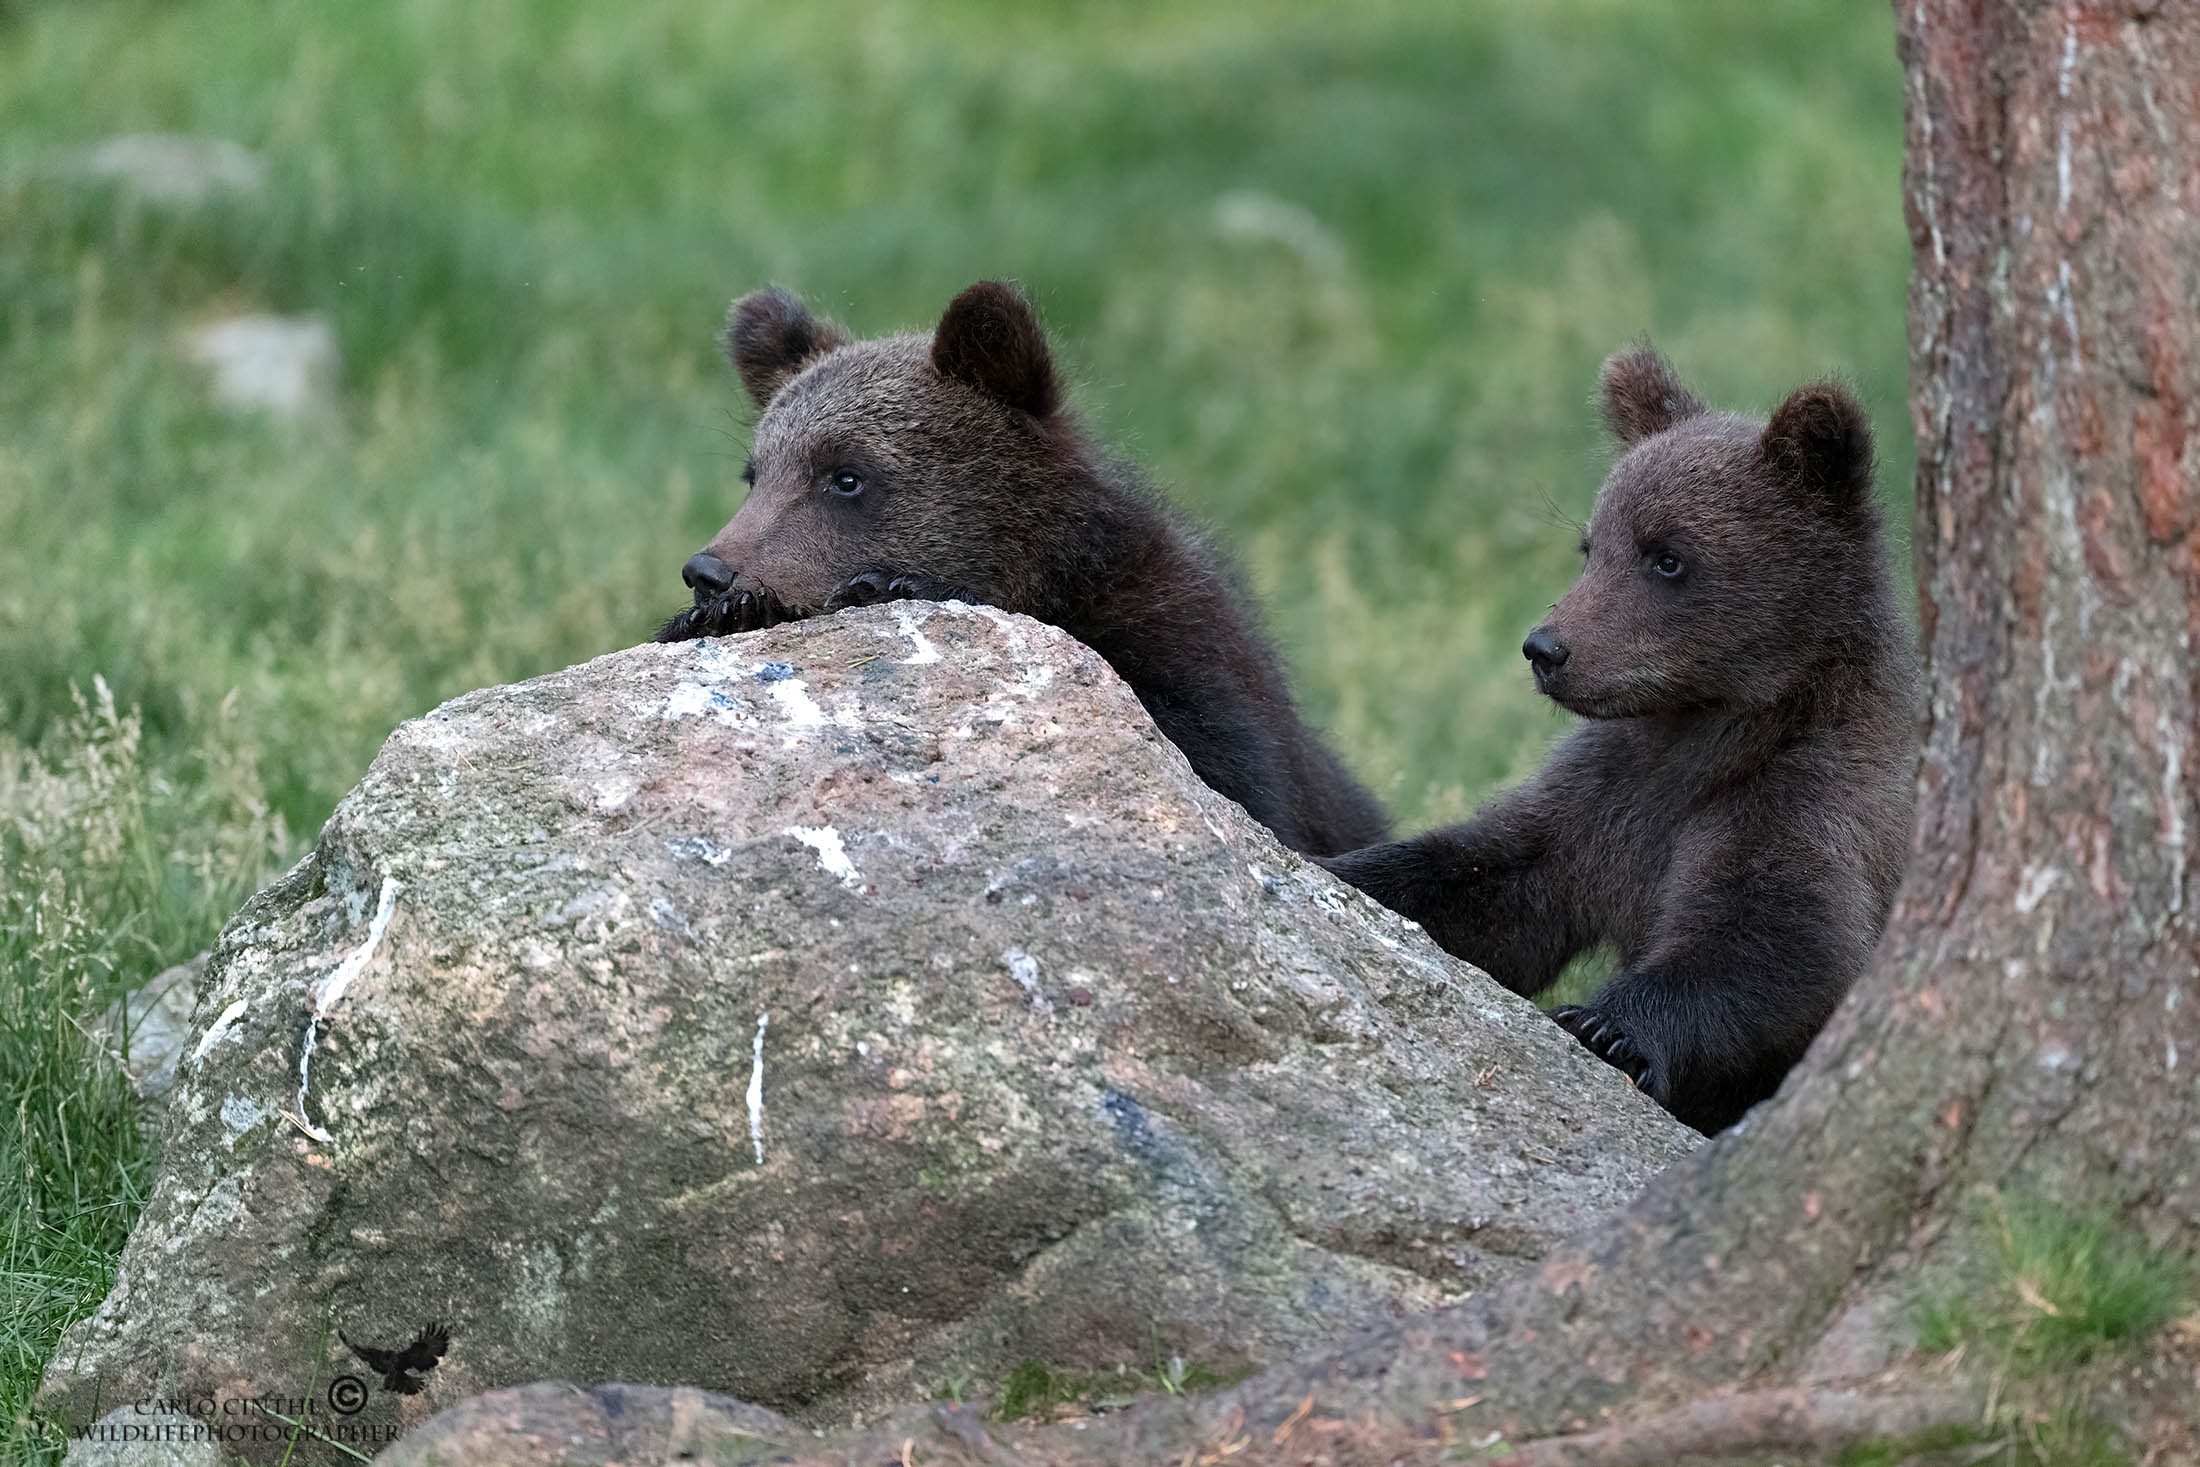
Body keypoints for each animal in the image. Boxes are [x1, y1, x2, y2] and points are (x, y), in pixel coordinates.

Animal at [656, 280, 1389, 859]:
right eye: (755, 474)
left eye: (846, 475)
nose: (709, 570)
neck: (1045, 575)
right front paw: (719, 616)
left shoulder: (1181, 649)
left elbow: (1224, 769)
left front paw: (880, 585)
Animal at [1321, 347, 1916, 1134]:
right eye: (1589, 545)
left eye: (1668, 556)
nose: (1546, 648)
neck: (1706, 728)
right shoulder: (1601, 797)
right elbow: (1487, 875)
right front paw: (1334, 864)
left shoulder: (1810, 799)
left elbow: (1777, 944)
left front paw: (1605, 1024)